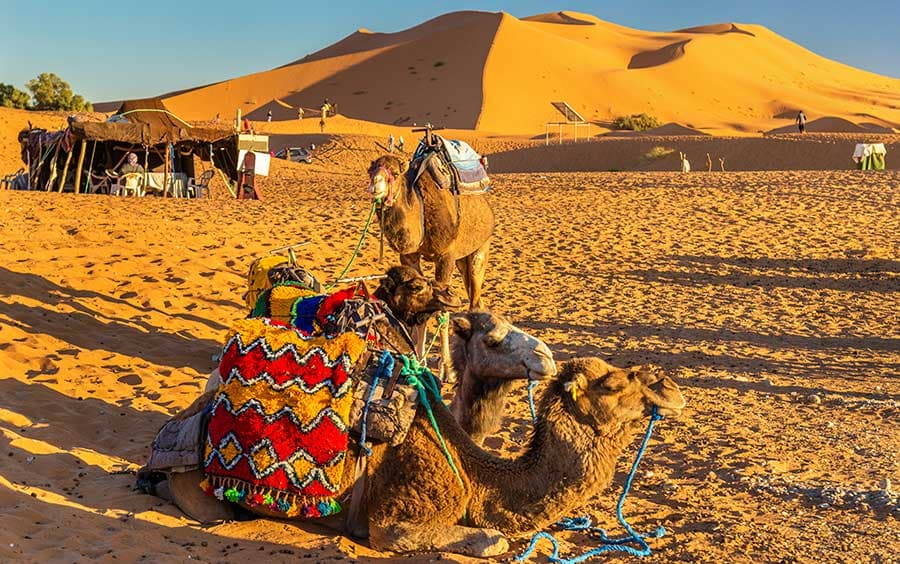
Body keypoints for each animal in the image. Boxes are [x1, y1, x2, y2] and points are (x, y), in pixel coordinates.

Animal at [367, 154, 494, 309]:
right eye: (370, 171)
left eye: (396, 174)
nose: (375, 182)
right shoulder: (409, 255)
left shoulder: (446, 253)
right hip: (463, 255)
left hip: (483, 243)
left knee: (475, 278)